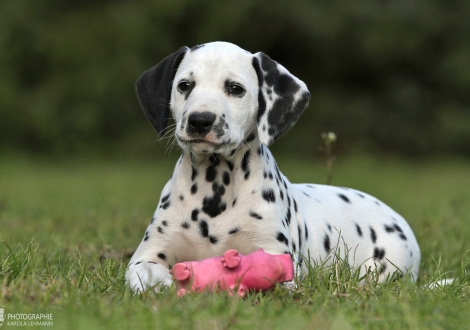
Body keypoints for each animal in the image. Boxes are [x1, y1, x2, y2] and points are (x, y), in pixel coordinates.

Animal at [124, 41, 418, 292]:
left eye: (235, 88)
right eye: (185, 85)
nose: (200, 120)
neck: (216, 188)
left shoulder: (274, 254)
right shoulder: (146, 256)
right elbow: (147, 274)